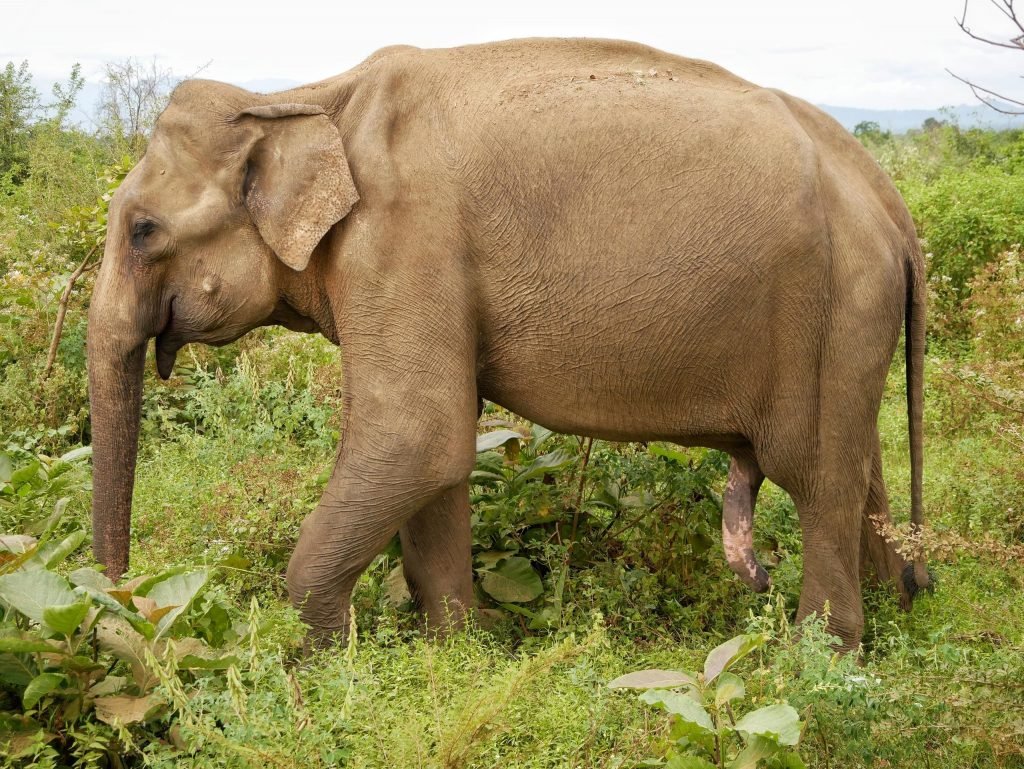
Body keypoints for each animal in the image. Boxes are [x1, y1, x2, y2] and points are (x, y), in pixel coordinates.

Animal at [92, 36, 933, 651]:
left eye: (142, 230)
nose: (123, 611)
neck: (300, 99)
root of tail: (890, 200)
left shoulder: (404, 239)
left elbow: (416, 435)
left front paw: (327, 663)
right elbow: (435, 460)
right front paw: (457, 649)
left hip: (838, 301)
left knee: (817, 478)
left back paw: (818, 657)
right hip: (851, 323)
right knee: (861, 472)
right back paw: (895, 608)